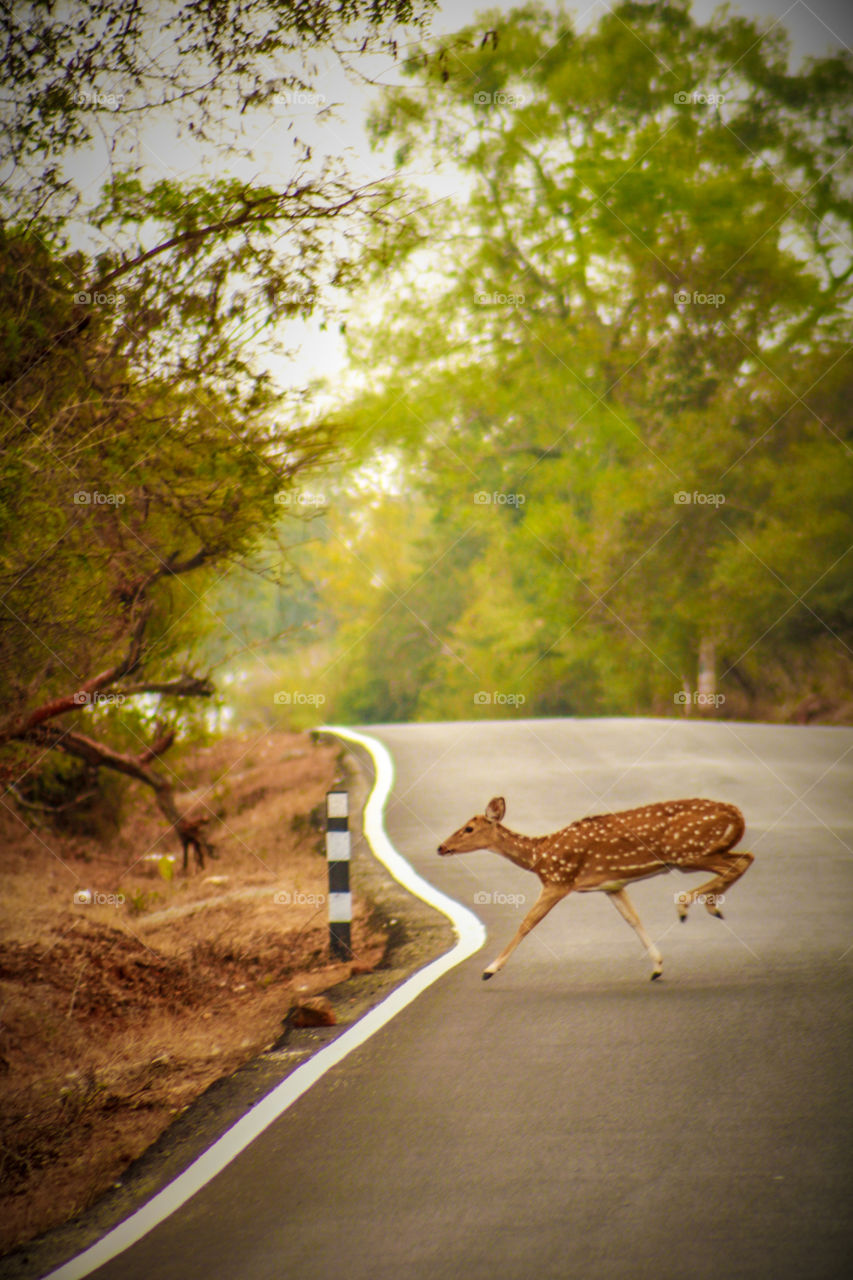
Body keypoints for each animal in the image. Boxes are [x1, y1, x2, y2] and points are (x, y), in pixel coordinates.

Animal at [437, 796, 753, 981]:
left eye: (468, 828)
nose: (441, 847)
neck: (541, 855)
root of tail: (736, 813)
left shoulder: (558, 880)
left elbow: (528, 922)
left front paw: (490, 969)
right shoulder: (612, 884)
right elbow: (633, 919)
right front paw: (657, 966)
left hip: (687, 852)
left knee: (738, 862)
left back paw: (690, 905)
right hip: (701, 851)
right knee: (745, 857)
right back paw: (709, 905)